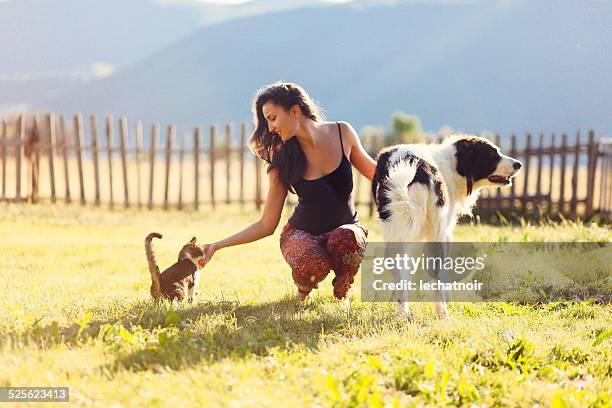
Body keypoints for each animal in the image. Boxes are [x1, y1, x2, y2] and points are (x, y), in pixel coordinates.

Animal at [372, 135, 520, 320]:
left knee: (401, 281)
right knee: (436, 280)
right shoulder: (445, 234)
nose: (519, 164)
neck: (451, 164)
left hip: (394, 239)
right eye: (493, 154)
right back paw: (443, 315)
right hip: (436, 235)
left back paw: (403, 317)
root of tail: (416, 165)